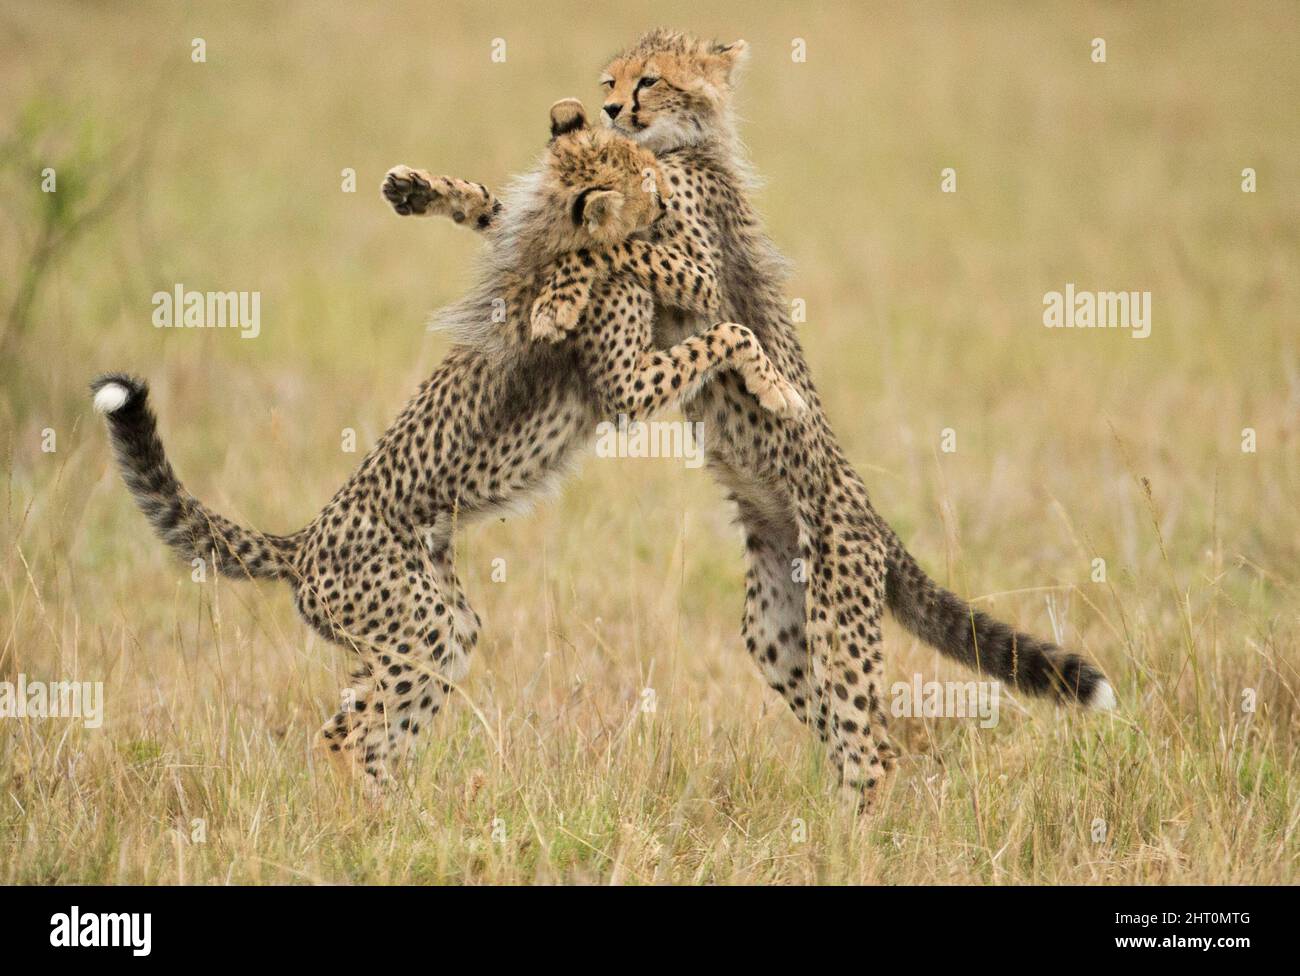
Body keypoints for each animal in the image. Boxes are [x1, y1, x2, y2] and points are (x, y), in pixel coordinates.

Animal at [91, 95, 802, 791]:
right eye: (648, 182)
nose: (666, 198)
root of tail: (302, 542)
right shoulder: (626, 383)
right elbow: (725, 329)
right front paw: (776, 389)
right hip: (418, 627)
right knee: (343, 735)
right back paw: (370, 810)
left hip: (437, 629)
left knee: (372, 721)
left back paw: (395, 809)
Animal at [390, 29, 1115, 812]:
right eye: (610, 80)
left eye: (650, 80)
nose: (610, 108)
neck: (683, 144)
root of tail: (870, 515)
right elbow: (522, 215)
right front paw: (424, 190)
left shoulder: (694, 267)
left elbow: (609, 243)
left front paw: (557, 294)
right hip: (777, 632)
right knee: (856, 735)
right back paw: (838, 817)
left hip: (839, 619)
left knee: (874, 744)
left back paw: (856, 829)